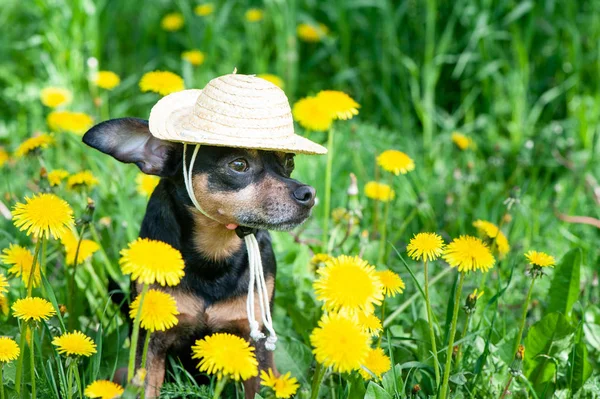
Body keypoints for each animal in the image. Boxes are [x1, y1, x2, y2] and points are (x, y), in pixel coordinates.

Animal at [84, 117, 318, 398]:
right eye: (239, 165)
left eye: (290, 162)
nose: (308, 194)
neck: (216, 252)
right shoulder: (150, 343)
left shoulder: (256, 343)